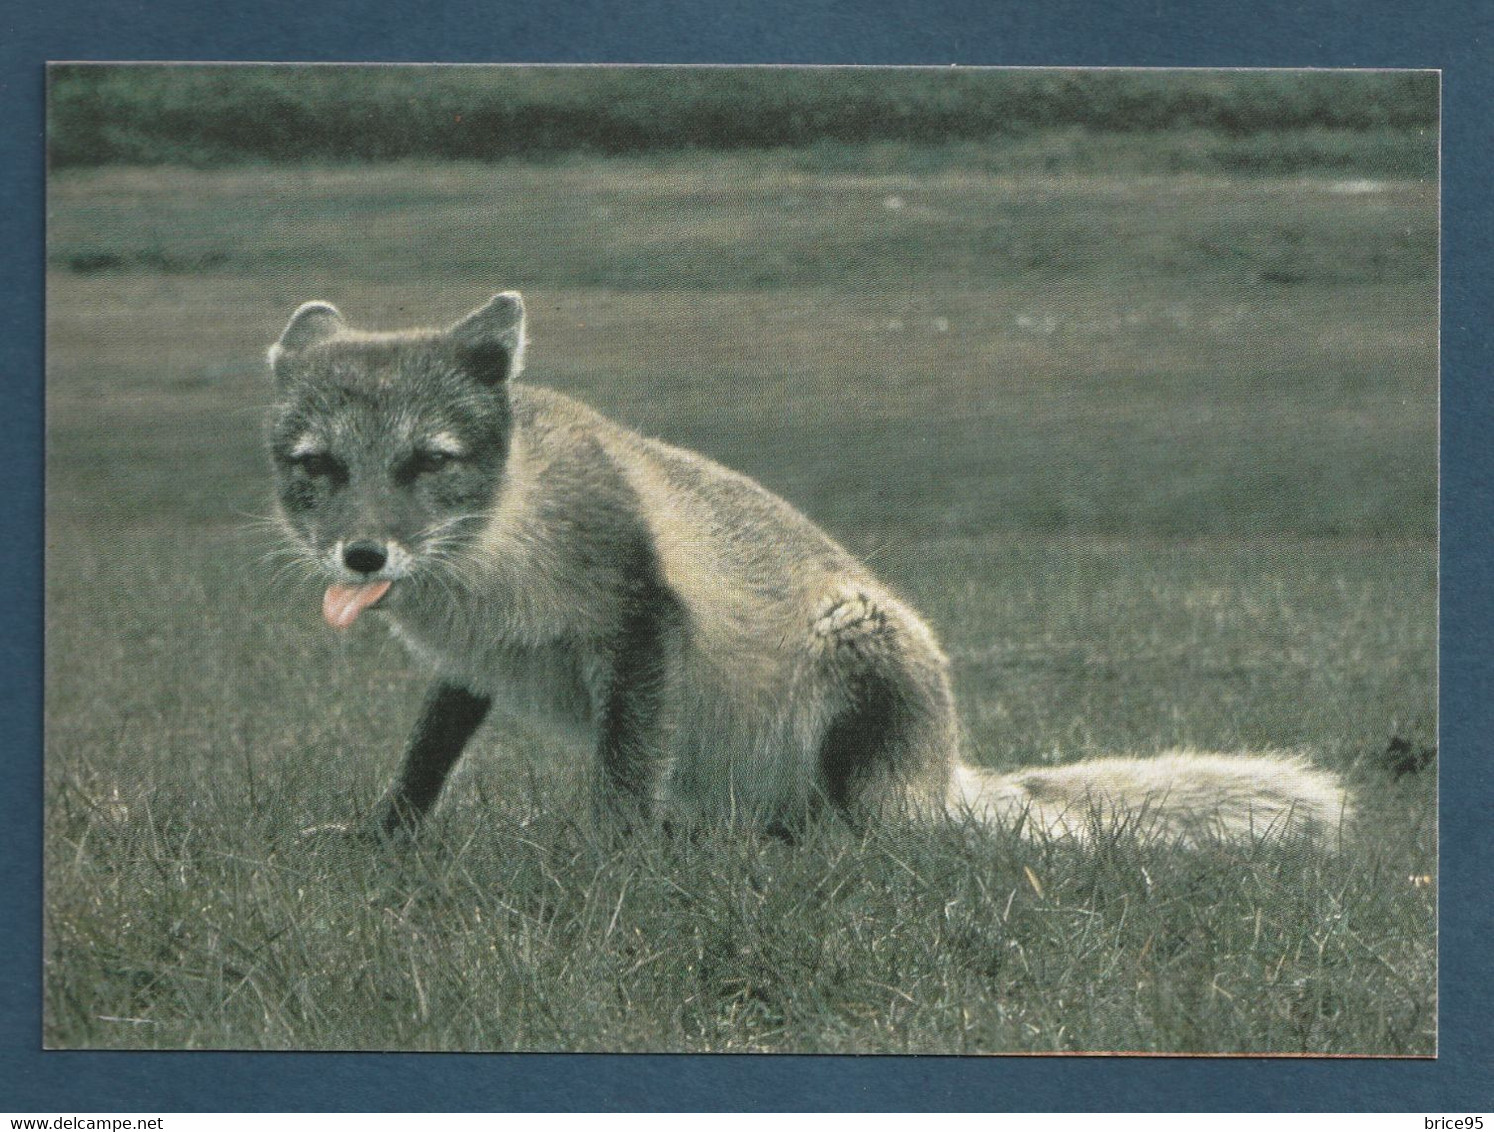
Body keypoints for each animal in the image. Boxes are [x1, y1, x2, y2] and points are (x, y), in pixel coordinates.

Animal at [265, 297, 1356, 848]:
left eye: (427, 461)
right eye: (319, 465)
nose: (362, 555)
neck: (493, 548)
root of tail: (941, 772)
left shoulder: (641, 624)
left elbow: (622, 774)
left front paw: (604, 868)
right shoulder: (470, 668)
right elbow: (423, 763)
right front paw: (381, 841)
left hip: (858, 643)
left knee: (873, 837)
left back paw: (800, 847)